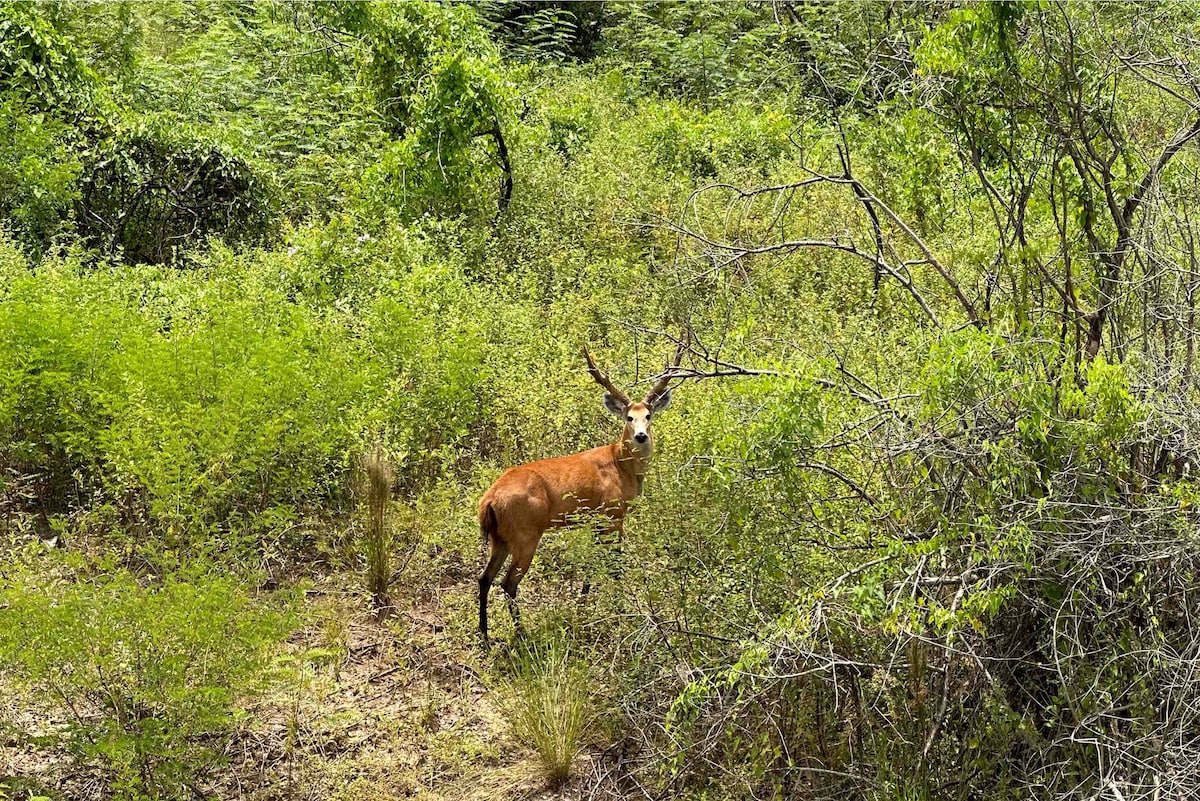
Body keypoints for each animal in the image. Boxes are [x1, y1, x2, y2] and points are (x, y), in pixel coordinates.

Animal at [475, 338, 686, 642]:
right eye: (628, 417)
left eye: (648, 415)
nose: (641, 436)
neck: (622, 467)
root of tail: (489, 501)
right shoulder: (613, 513)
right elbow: (614, 564)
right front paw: (621, 607)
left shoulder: (595, 520)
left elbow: (591, 562)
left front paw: (583, 604)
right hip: (525, 534)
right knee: (508, 582)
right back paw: (522, 634)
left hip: (500, 537)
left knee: (484, 578)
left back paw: (485, 635)